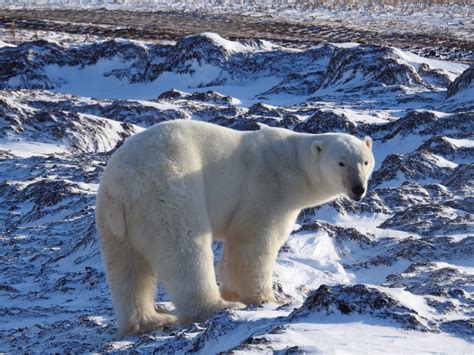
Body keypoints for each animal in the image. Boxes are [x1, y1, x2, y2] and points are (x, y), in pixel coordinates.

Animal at [95, 120, 374, 336]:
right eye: (341, 163)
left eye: (365, 162)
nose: (358, 188)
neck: (294, 160)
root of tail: (121, 183)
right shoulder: (269, 186)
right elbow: (253, 239)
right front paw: (266, 298)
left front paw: (232, 292)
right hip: (166, 191)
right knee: (184, 250)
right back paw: (216, 307)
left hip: (113, 221)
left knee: (126, 268)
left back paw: (149, 321)